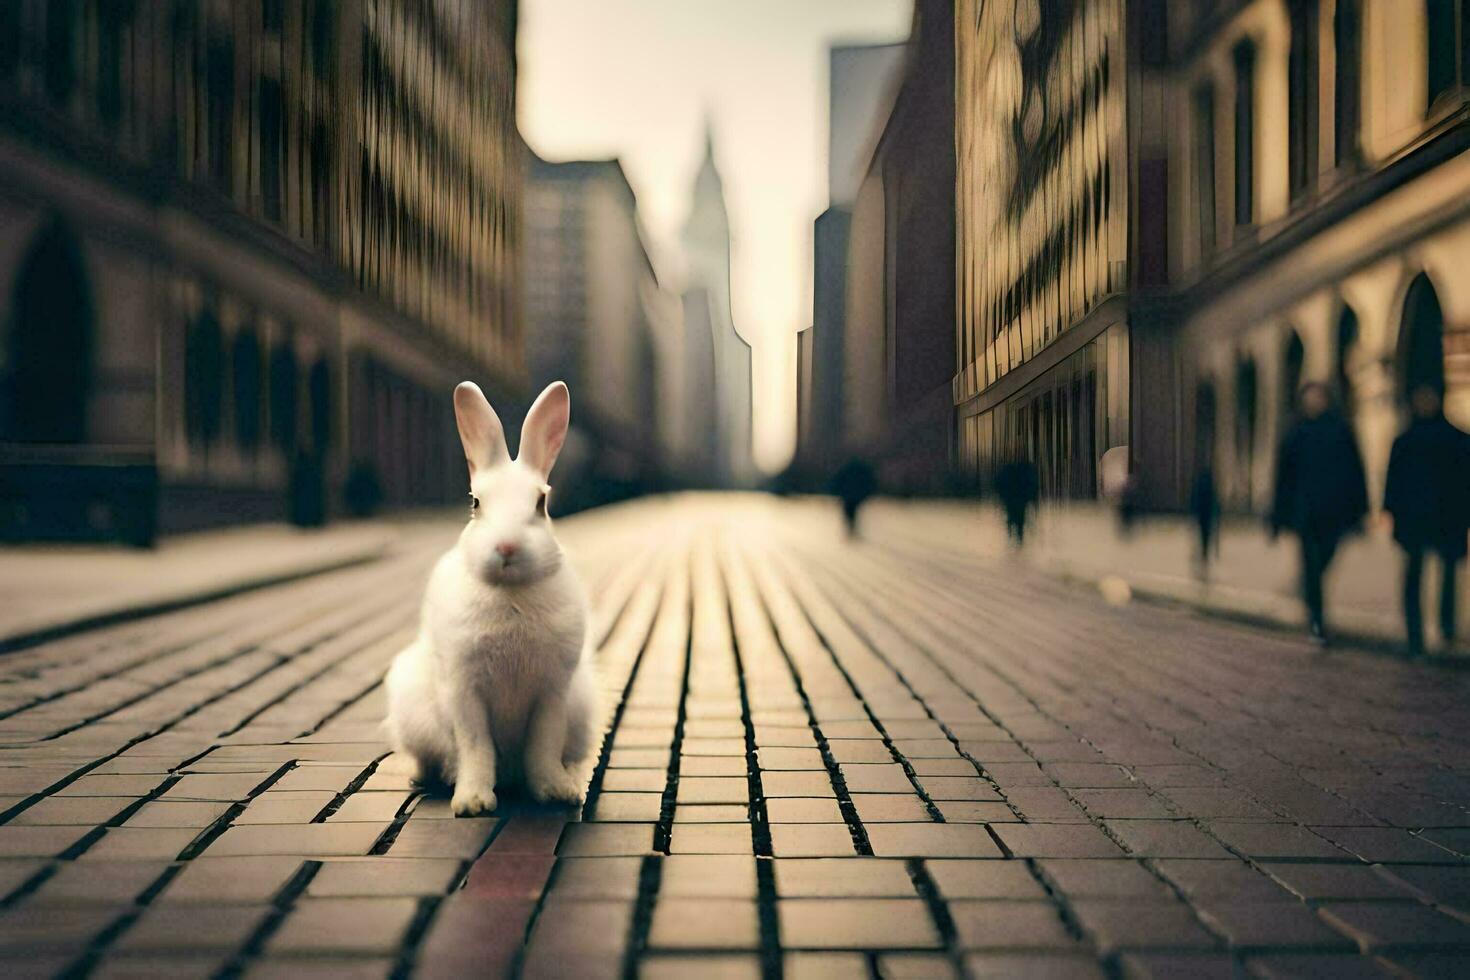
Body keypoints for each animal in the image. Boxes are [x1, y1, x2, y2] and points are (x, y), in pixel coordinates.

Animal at [388, 379, 599, 816]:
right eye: (475, 503)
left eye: (541, 503)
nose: (506, 547)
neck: (510, 593)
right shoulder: (465, 692)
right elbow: (476, 747)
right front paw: (472, 803)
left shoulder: (552, 694)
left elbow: (543, 747)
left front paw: (556, 792)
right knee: (425, 755)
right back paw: (421, 777)